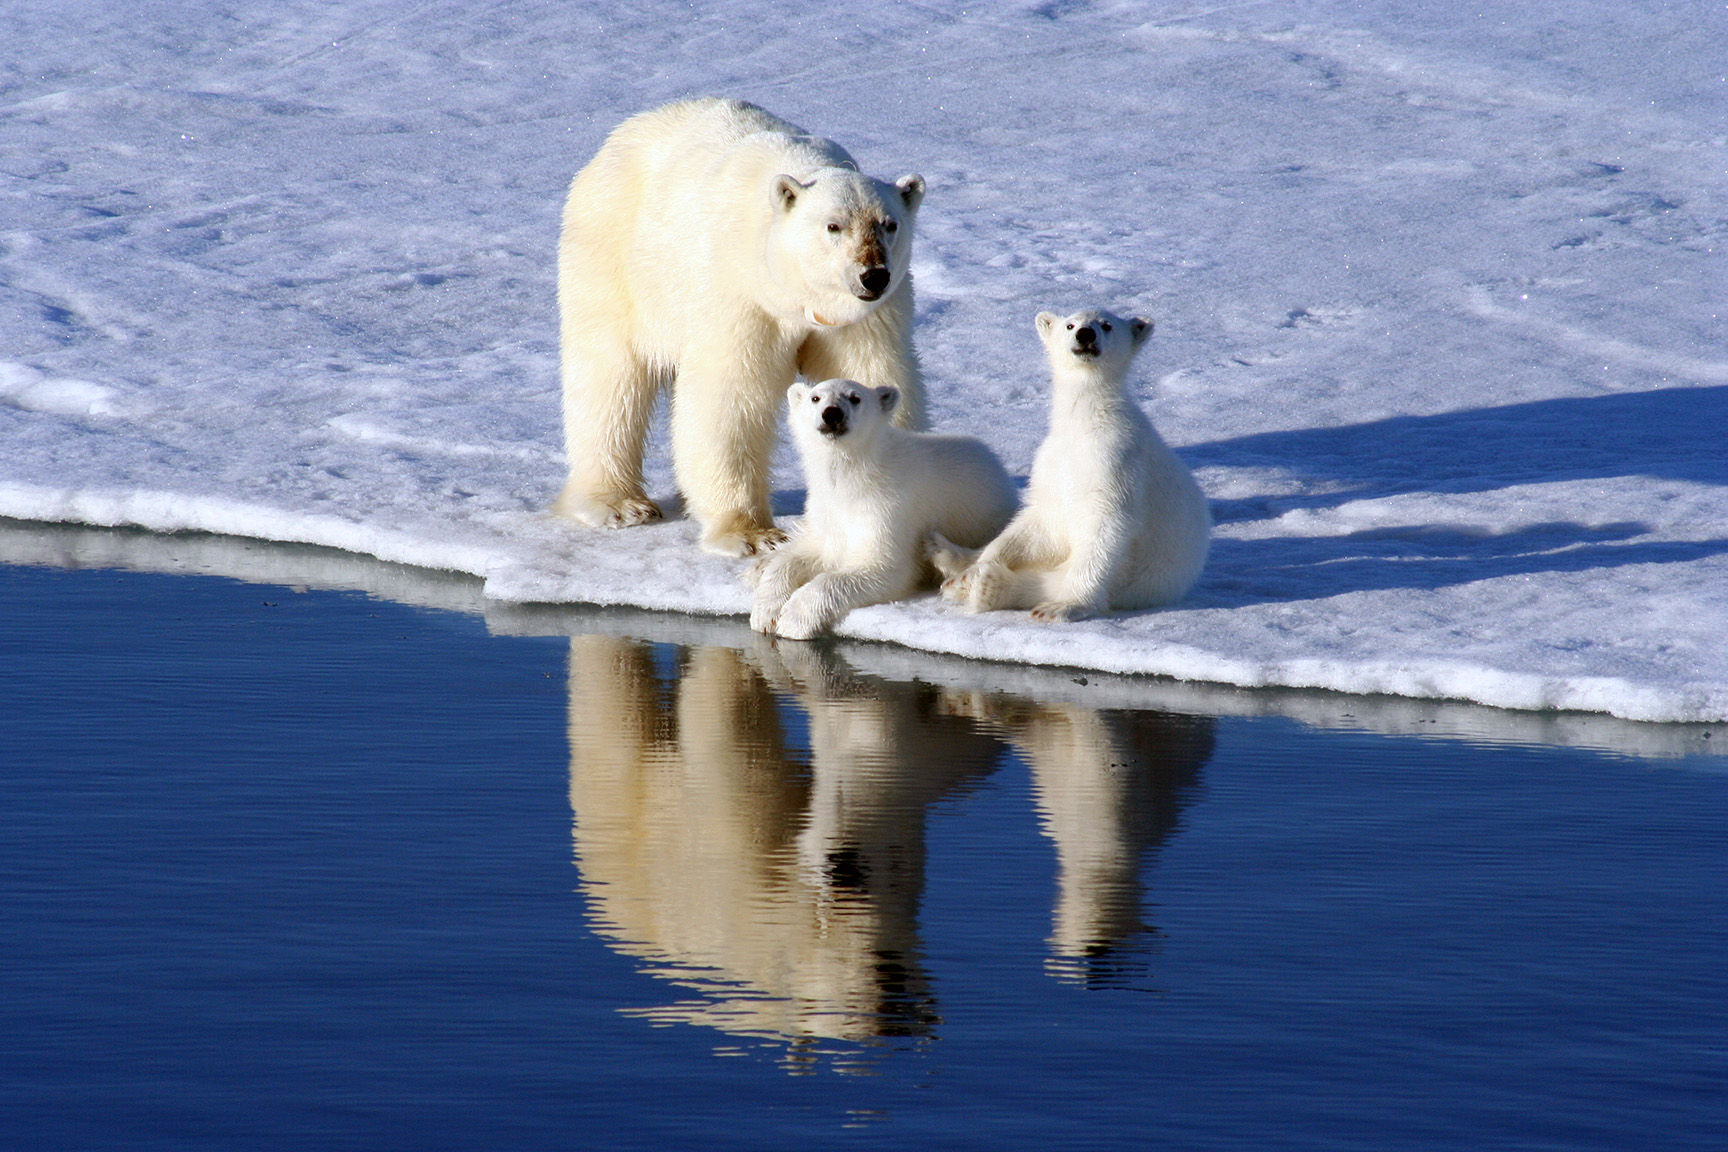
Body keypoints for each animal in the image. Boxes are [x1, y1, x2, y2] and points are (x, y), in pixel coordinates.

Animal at [553, 97, 927, 557]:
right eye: (834, 225)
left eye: (889, 224)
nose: (872, 275)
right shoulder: (740, 295)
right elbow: (729, 397)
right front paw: (753, 534)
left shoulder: (865, 317)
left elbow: (874, 373)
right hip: (614, 256)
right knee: (609, 377)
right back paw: (618, 503)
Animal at [750, 378, 1017, 640]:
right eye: (815, 397)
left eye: (855, 397)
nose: (832, 413)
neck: (855, 479)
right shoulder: (828, 512)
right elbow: (808, 555)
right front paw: (765, 613)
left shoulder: (888, 508)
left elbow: (883, 568)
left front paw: (793, 620)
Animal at [928, 307, 1210, 621]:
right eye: (1070, 325)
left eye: (1107, 325)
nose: (1086, 334)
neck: (1085, 424)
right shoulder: (1053, 463)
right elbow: (1041, 523)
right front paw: (974, 569)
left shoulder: (1115, 462)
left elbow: (1104, 529)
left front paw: (1064, 606)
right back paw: (947, 555)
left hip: (1142, 582)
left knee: (1052, 580)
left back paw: (988, 587)